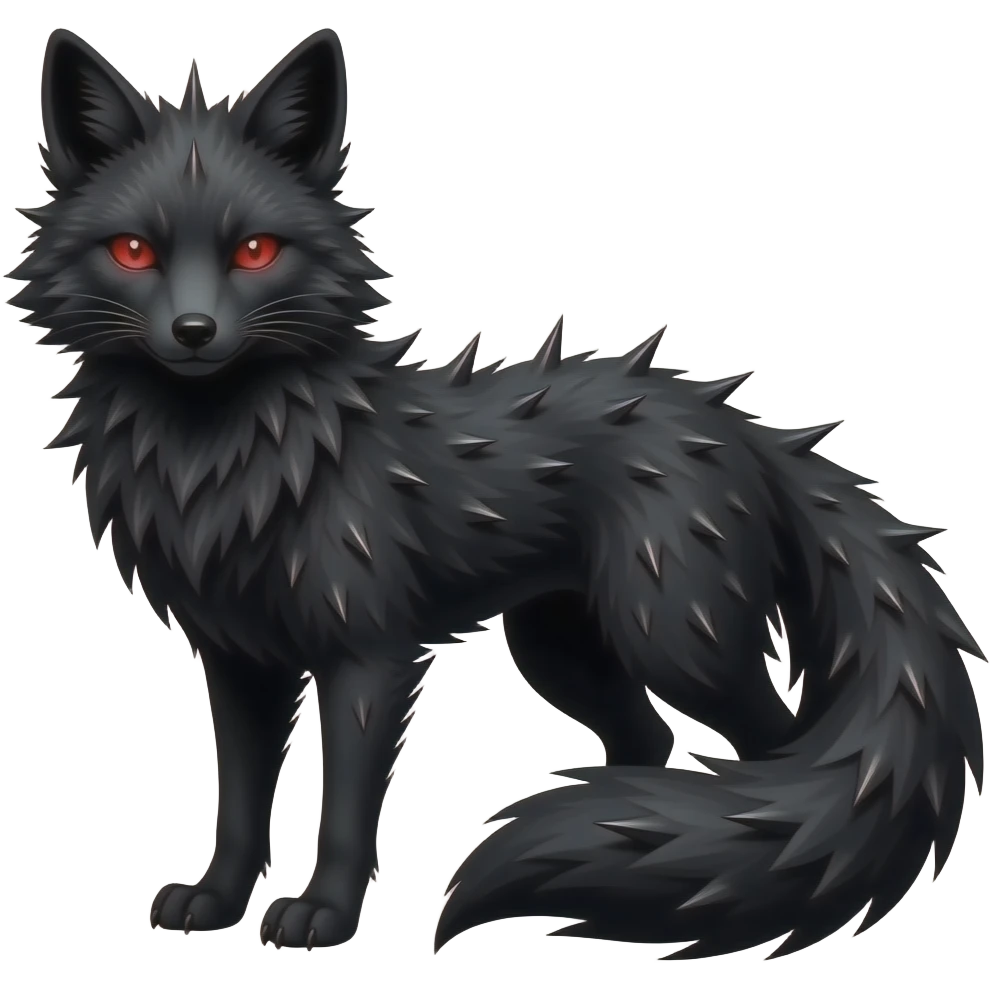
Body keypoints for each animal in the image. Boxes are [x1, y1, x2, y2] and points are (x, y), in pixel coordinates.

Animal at [12, 27, 984, 958]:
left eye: (254, 251)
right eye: (133, 251)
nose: (194, 330)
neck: (222, 465)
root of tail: (745, 430)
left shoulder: (370, 655)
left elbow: (346, 813)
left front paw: (324, 915)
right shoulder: (238, 657)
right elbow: (241, 805)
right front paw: (216, 901)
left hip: (675, 639)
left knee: (771, 752)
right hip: (560, 650)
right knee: (653, 745)